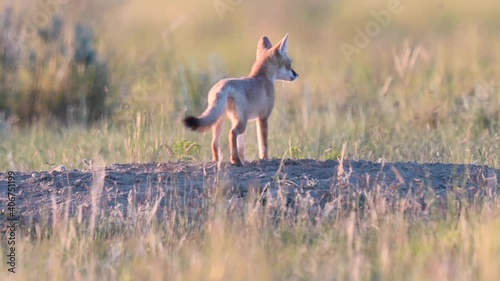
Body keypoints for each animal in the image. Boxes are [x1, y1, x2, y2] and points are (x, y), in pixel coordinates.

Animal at [185, 34, 298, 165]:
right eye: (289, 64)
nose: (297, 75)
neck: (261, 77)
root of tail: (224, 85)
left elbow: (241, 145)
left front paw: (244, 158)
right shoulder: (263, 118)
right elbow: (263, 144)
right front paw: (265, 158)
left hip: (222, 120)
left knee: (214, 142)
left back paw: (218, 160)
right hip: (241, 122)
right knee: (232, 133)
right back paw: (236, 160)